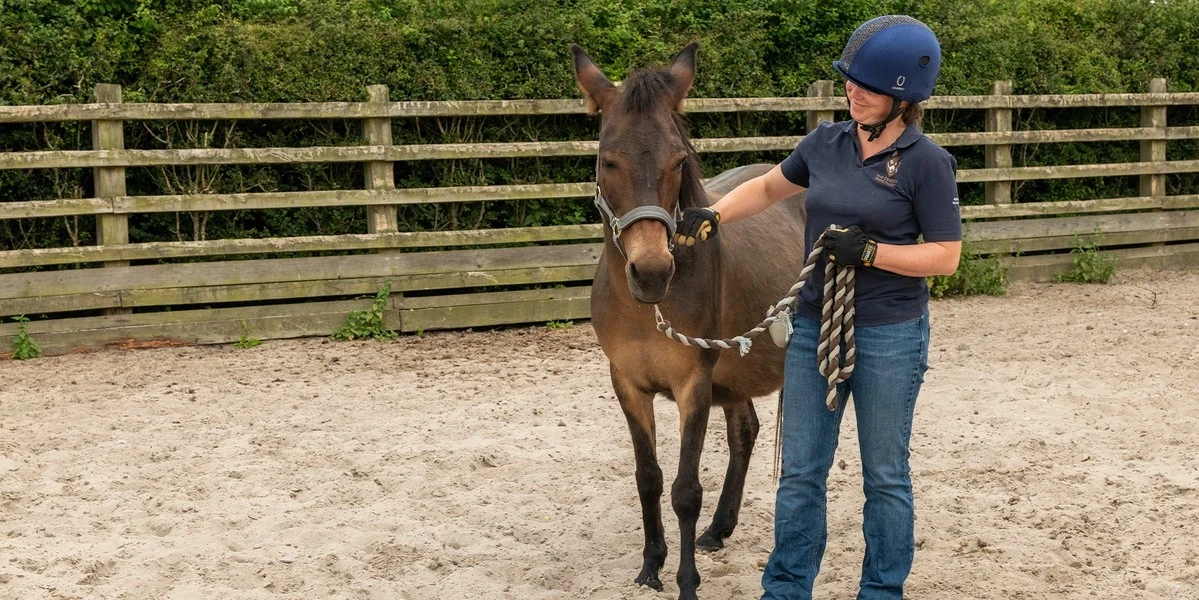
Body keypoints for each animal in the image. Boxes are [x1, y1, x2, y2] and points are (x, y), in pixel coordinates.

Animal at [572, 43, 808, 600]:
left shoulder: (693, 385)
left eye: (679, 161)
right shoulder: (627, 384)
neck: (645, 310)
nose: (652, 271)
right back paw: (719, 529)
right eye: (608, 160)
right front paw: (651, 566)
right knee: (745, 432)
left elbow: (684, 490)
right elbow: (649, 478)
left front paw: (686, 583)